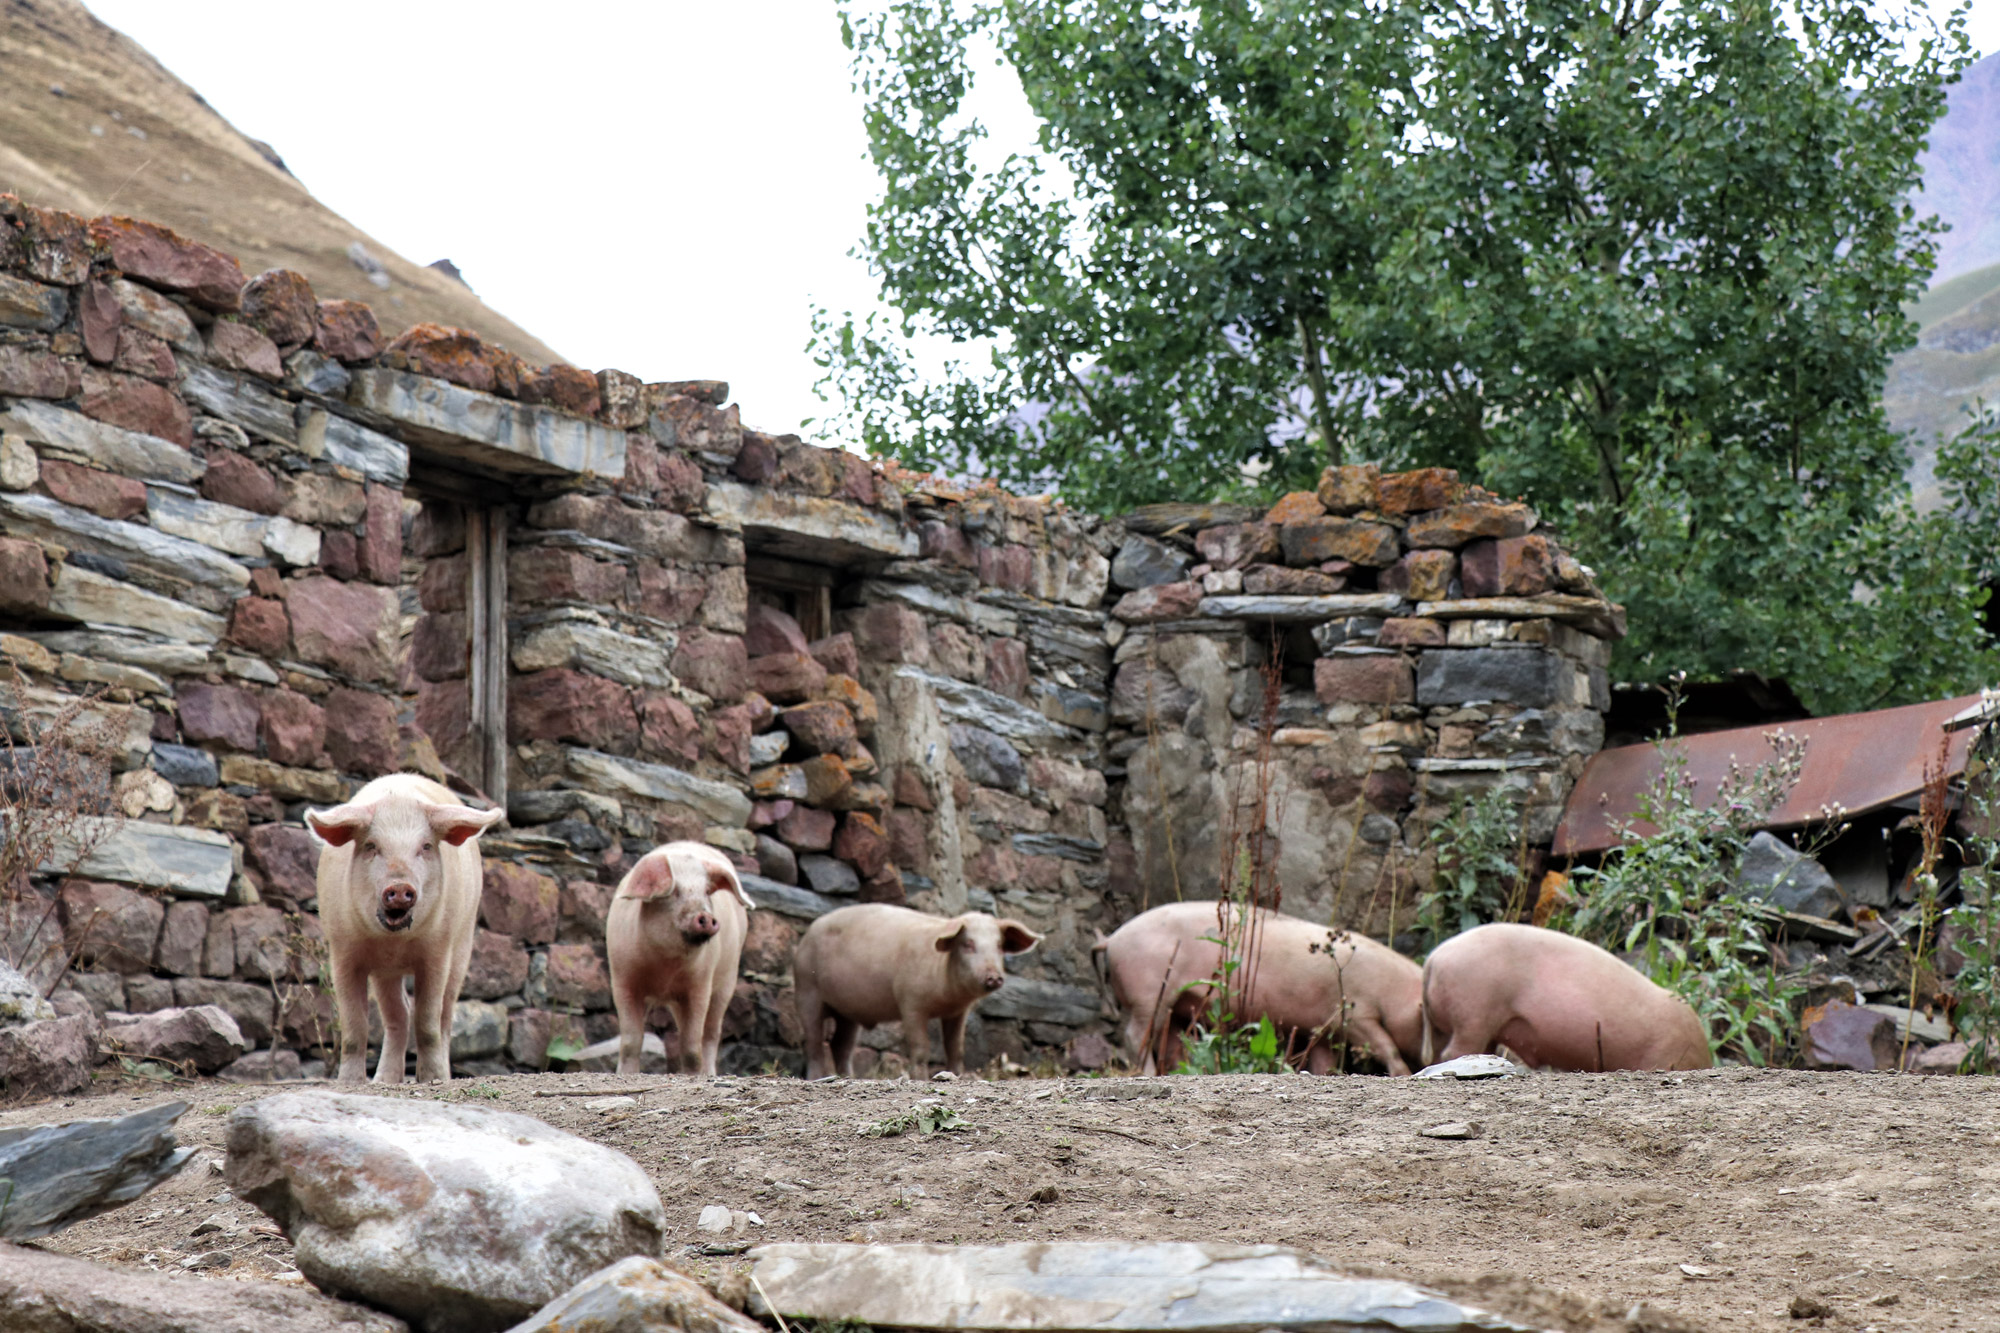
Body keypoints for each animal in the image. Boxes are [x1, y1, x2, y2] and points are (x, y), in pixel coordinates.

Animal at [306, 768, 508, 1080]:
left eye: (425, 847)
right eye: (371, 846)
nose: (400, 887)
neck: (394, 943)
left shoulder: (438, 950)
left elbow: (427, 1021)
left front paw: (432, 1079)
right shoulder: (342, 950)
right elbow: (354, 1025)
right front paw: (349, 1082)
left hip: (464, 942)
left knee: (445, 1016)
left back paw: (441, 1075)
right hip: (384, 973)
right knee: (398, 1014)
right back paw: (384, 1080)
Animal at [604, 844, 752, 1072]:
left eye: (706, 891)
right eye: (673, 891)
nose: (706, 916)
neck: (666, 965)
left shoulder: (700, 985)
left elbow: (692, 1048)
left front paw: (692, 1075)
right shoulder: (622, 980)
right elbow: (631, 1041)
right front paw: (625, 1074)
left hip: (727, 981)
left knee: (711, 1034)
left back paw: (708, 1073)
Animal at [796, 896, 1048, 1072]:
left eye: (999, 945)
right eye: (967, 944)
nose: (993, 976)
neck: (947, 996)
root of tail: (808, 932)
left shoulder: (958, 1012)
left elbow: (956, 1049)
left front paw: (956, 1075)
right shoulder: (910, 1002)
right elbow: (921, 1049)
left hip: (848, 1011)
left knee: (841, 1046)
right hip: (807, 989)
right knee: (814, 1044)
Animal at [1096, 892, 1424, 1072]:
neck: (1392, 989)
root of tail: (1112, 939)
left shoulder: (1318, 1026)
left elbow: (1324, 1061)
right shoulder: (1354, 1013)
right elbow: (1386, 1046)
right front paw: (1402, 1072)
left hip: (1174, 1007)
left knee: (1171, 1044)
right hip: (1148, 992)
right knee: (1135, 1035)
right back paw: (1149, 1072)